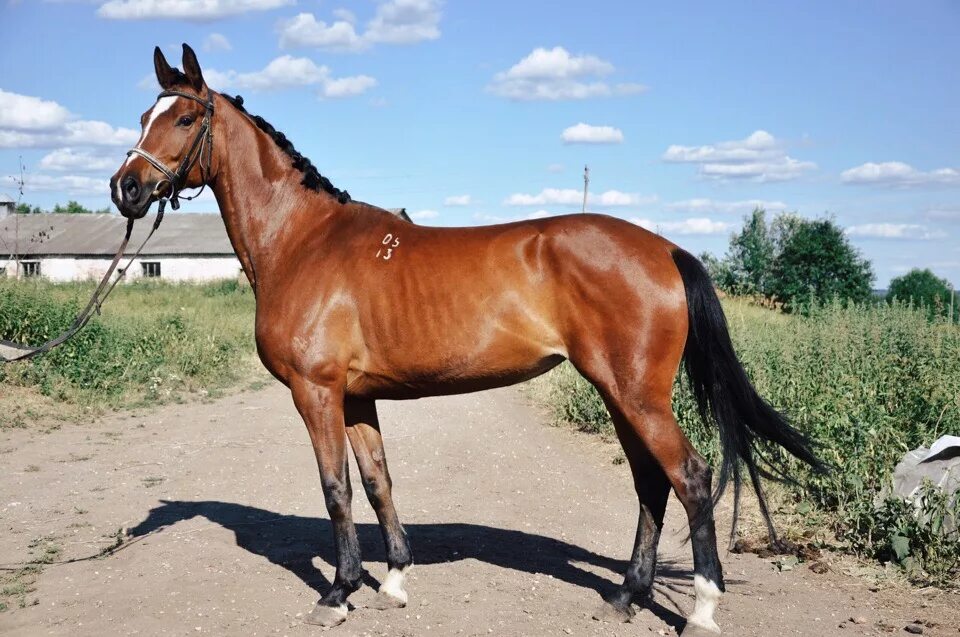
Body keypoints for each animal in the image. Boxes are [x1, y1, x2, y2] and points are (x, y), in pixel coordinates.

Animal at [109, 43, 820, 632]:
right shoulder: (357, 397)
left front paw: (337, 593)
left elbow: (336, 489)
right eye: (144, 112)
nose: (126, 188)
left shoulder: (317, 393)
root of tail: (666, 249)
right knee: (652, 483)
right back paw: (624, 596)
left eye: (182, 118)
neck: (304, 241)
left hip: (636, 394)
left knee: (690, 478)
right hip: (621, 395)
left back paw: (701, 609)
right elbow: (377, 482)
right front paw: (392, 581)